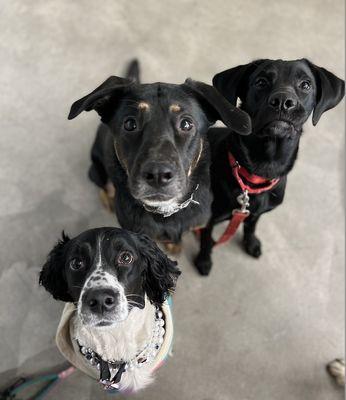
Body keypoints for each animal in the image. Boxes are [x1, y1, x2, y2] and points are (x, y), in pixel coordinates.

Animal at [68, 61, 251, 250]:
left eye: (186, 124)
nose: (157, 175)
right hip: (96, 171)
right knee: (104, 187)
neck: (167, 211)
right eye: (130, 124)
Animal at [195, 58, 344, 276]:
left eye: (306, 85)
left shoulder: (254, 213)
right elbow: (206, 240)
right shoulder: (209, 218)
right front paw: (204, 260)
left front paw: (251, 243)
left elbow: (251, 226)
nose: (283, 101)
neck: (261, 169)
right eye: (261, 82)